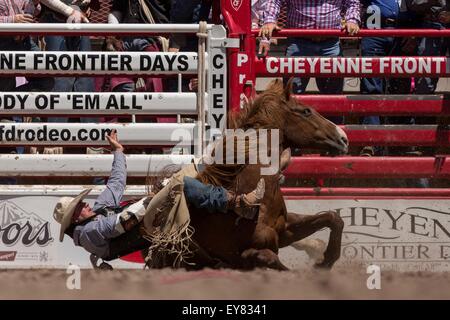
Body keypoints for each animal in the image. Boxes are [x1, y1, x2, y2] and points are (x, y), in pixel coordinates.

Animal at [179, 78, 348, 270]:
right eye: (306, 111)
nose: (343, 138)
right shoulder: (244, 257)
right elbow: (272, 260)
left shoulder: (286, 230)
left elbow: (333, 217)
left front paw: (327, 259)